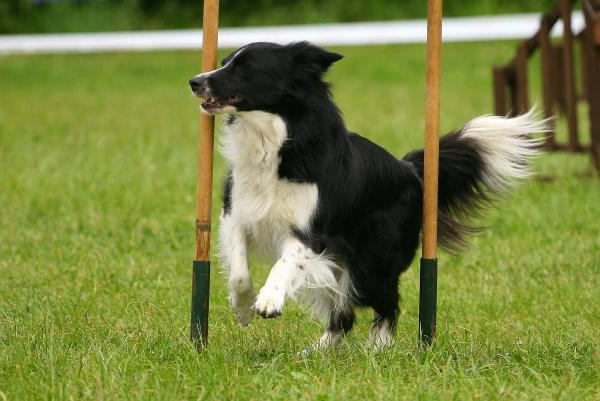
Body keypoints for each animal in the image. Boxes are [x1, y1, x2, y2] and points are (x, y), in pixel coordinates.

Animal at [190, 40, 548, 346]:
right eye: (224, 62)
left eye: (245, 68)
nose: (194, 81)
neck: (274, 140)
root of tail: (410, 170)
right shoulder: (236, 213)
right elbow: (239, 271)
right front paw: (243, 308)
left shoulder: (312, 232)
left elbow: (284, 262)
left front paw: (269, 300)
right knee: (344, 313)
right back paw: (318, 350)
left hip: (372, 260)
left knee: (386, 303)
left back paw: (378, 349)